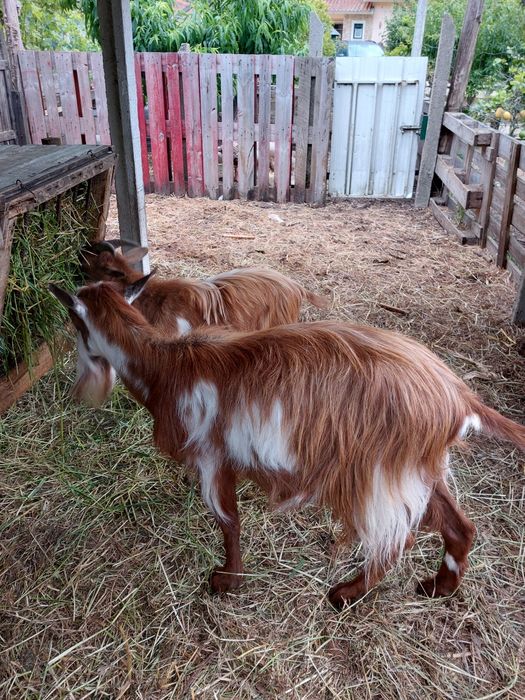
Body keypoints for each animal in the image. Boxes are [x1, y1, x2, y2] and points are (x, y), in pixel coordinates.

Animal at [50, 275, 525, 609]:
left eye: (74, 322)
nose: (80, 383)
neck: (169, 365)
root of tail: (457, 397)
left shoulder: (212, 457)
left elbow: (228, 522)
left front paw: (227, 581)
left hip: (376, 472)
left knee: (395, 540)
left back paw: (343, 594)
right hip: (419, 468)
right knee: (458, 526)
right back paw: (436, 588)